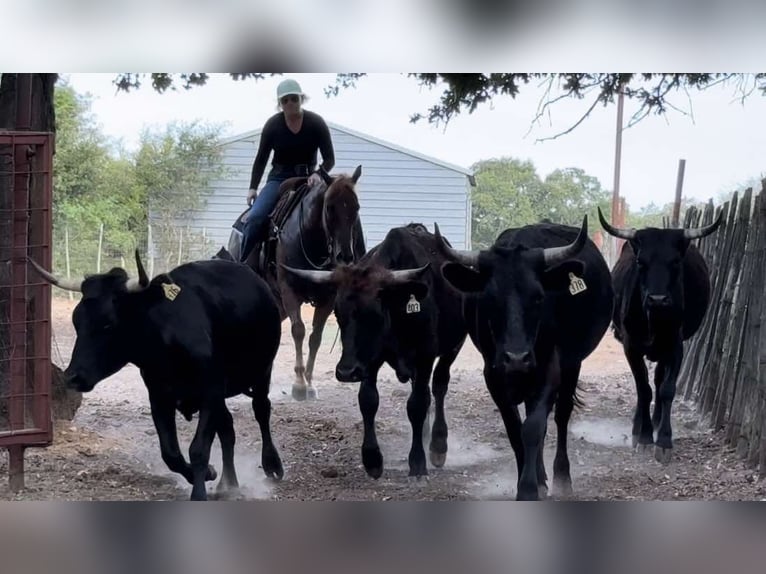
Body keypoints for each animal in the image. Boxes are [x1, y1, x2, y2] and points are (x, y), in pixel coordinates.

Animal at [27, 252, 286, 500]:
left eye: (108, 324)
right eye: (76, 321)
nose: (72, 376)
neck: (165, 341)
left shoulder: (210, 391)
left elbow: (199, 448)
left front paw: (199, 492)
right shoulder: (160, 396)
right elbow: (170, 453)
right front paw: (207, 474)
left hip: (263, 371)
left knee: (261, 410)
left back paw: (272, 465)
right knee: (227, 428)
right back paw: (228, 484)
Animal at [284, 225, 472, 482]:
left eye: (373, 314)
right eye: (338, 313)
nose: (346, 372)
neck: (399, 306)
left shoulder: (424, 356)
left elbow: (417, 404)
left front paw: (418, 462)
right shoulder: (369, 361)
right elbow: (368, 400)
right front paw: (372, 458)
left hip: (452, 348)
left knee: (439, 386)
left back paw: (437, 445)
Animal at [436, 218, 616, 502]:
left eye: (539, 297)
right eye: (488, 299)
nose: (517, 358)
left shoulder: (549, 368)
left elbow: (532, 429)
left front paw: (529, 488)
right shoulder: (493, 374)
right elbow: (514, 429)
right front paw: (531, 482)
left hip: (572, 364)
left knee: (561, 416)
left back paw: (561, 477)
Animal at [600, 209, 728, 466]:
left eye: (676, 262)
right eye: (641, 262)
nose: (657, 299)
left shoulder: (675, 347)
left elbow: (667, 389)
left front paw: (664, 440)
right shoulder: (631, 347)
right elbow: (643, 388)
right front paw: (645, 436)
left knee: (659, 380)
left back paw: (657, 420)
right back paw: (638, 426)